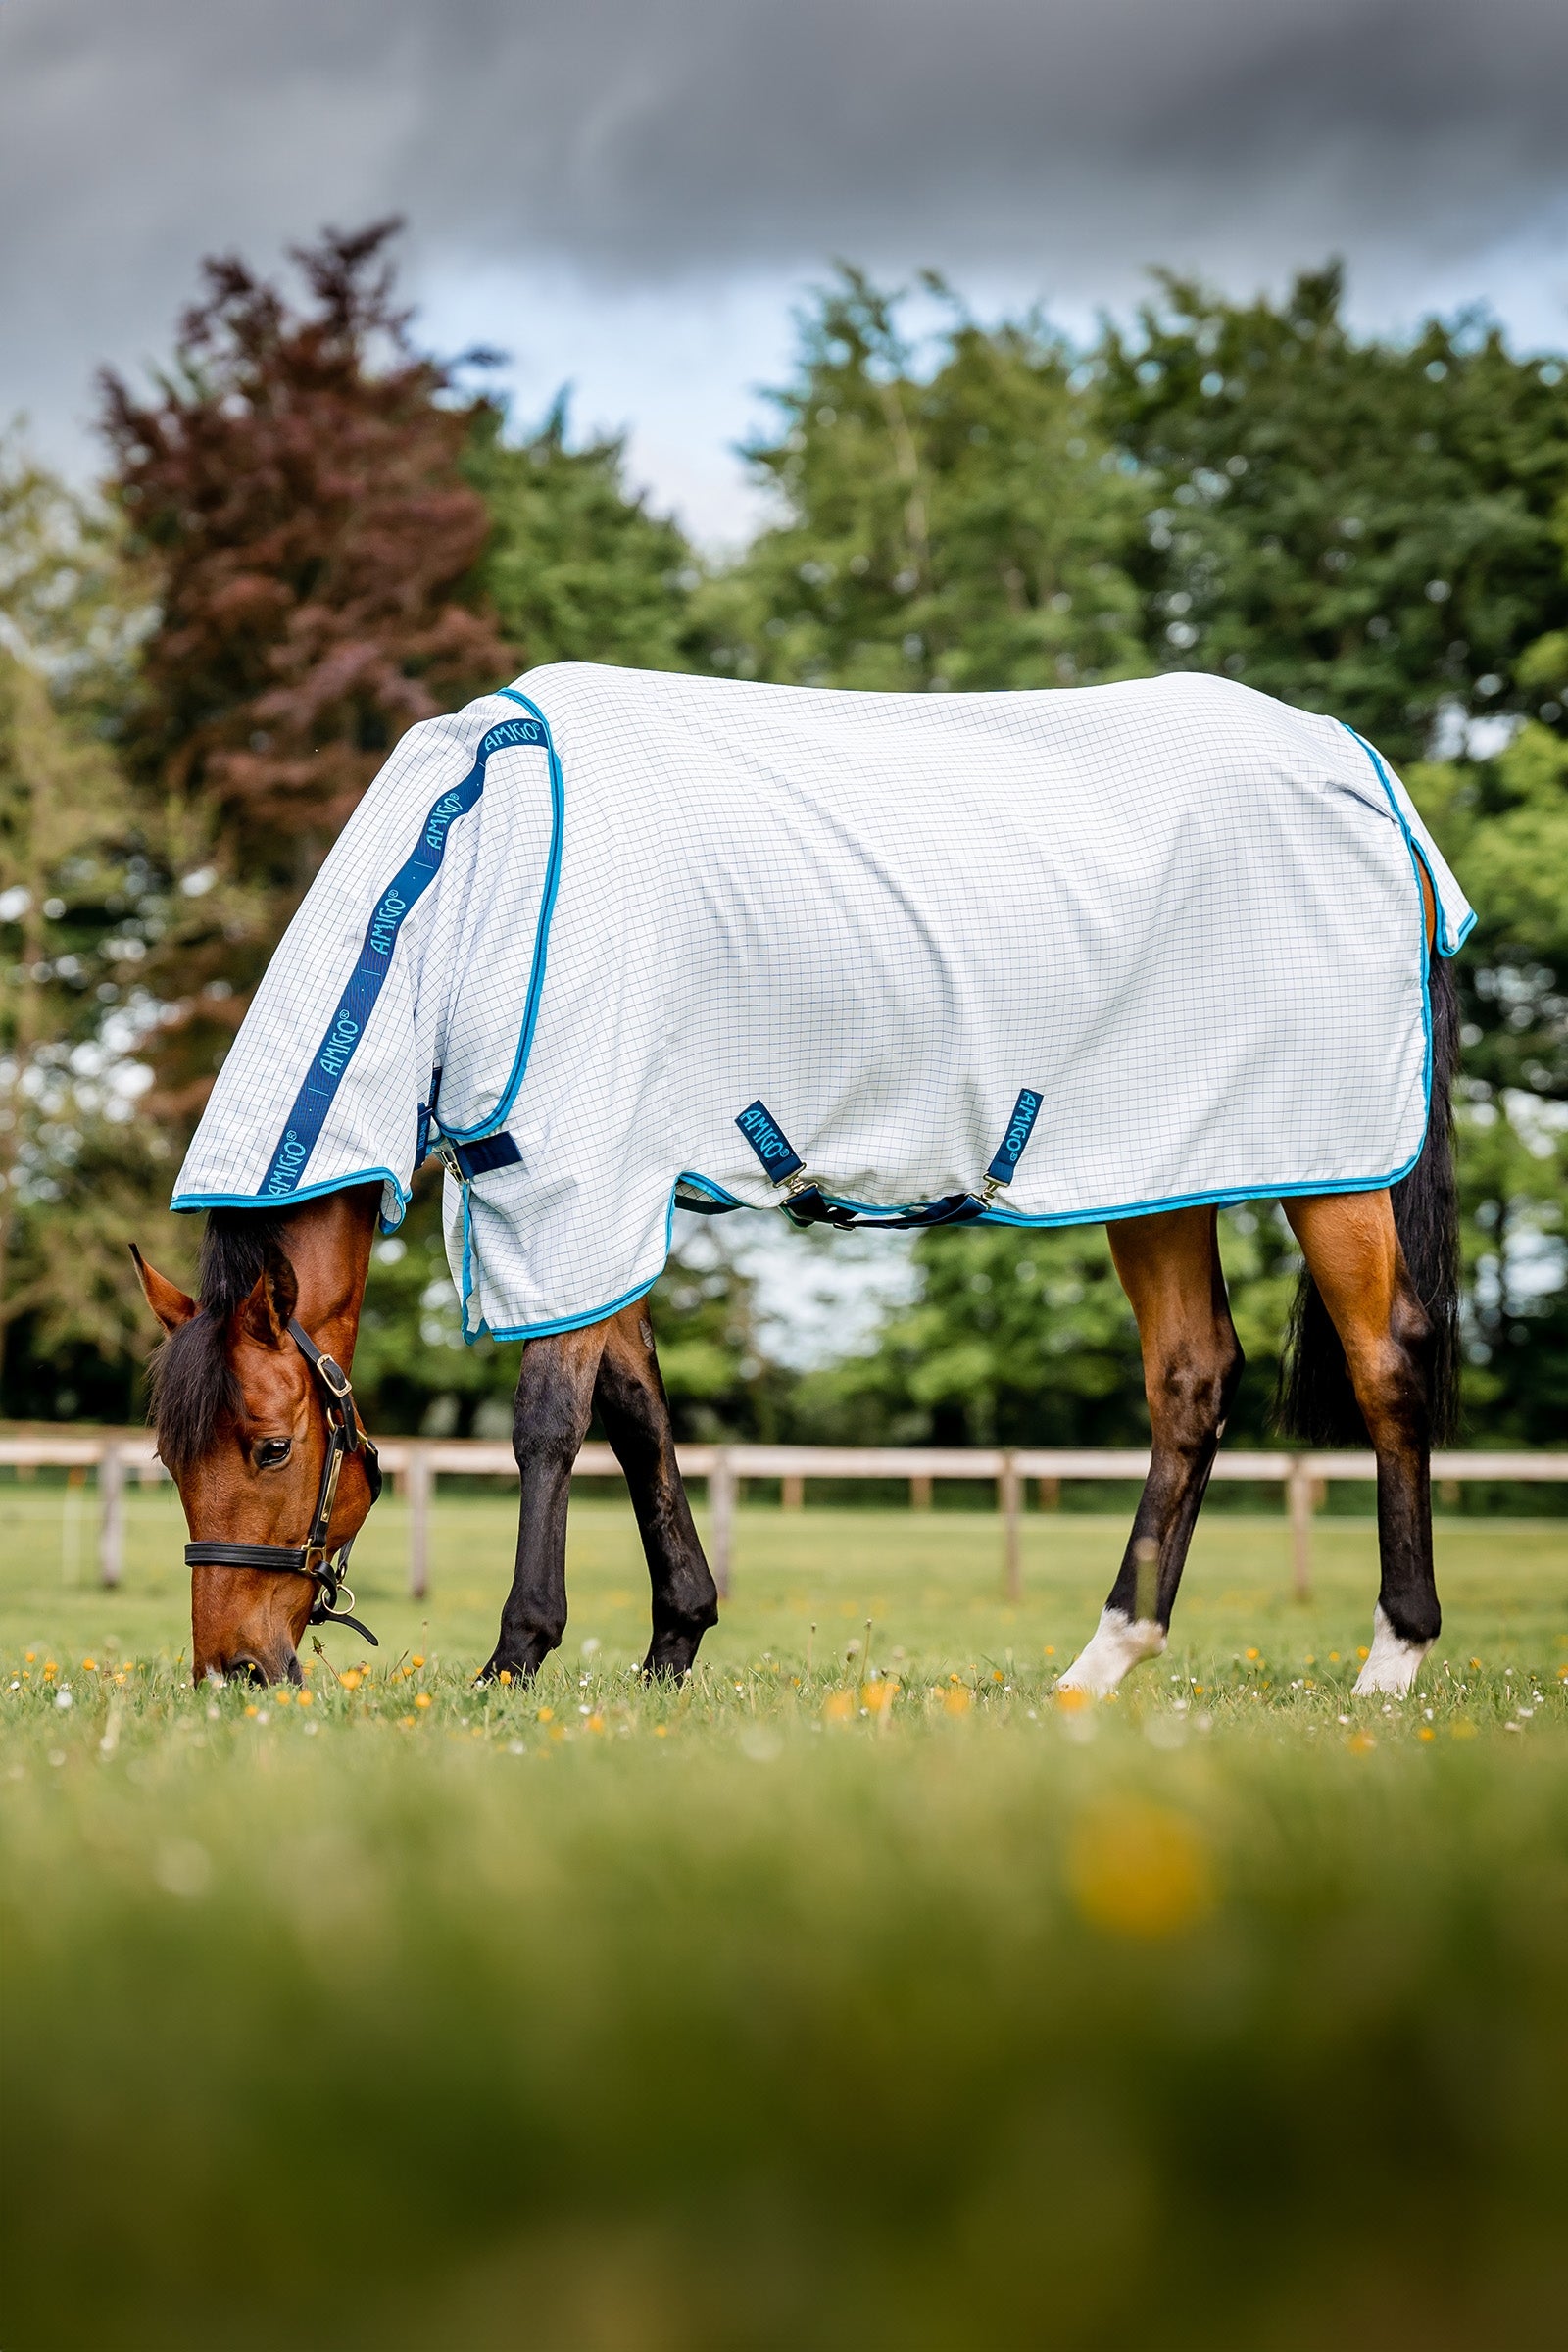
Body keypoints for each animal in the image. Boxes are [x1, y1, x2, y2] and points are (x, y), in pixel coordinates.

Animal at [131, 665, 1464, 1699]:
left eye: (268, 1448)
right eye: (166, 1461)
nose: (232, 1673)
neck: (469, 870)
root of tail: (1360, 769)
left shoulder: (577, 1181)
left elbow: (551, 1424)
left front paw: (514, 1660)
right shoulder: (605, 1198)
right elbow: (639, 1416)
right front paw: (671, 1647)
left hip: (1329, 1168)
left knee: (1386, 1364)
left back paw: (1391, 1658)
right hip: (1153, 1169)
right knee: (1189, 1381)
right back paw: (1103, 1662)